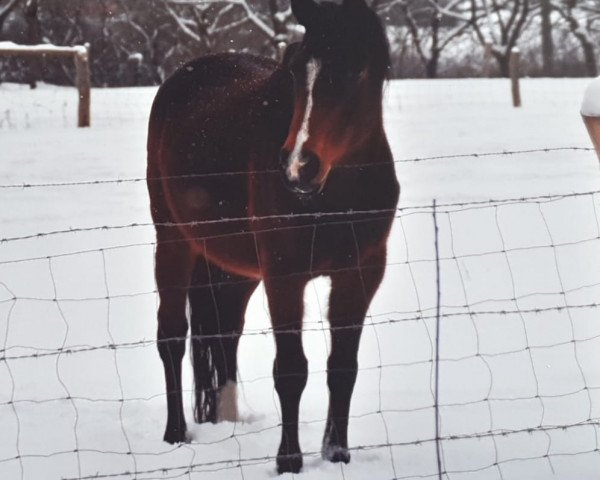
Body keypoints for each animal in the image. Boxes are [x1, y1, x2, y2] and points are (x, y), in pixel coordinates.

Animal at [145, 0, 398, 472]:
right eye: (295, 69)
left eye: (356, 69)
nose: (299, 167)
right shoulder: (285, 274)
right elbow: (292, 369)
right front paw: (289, 461)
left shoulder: (361, 273)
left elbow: (343, 366)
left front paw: (337, 453)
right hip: (172, 242)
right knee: (171, 335)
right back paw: (175, 434)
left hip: (234, 268)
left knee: (225, 331)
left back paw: (225, 420)